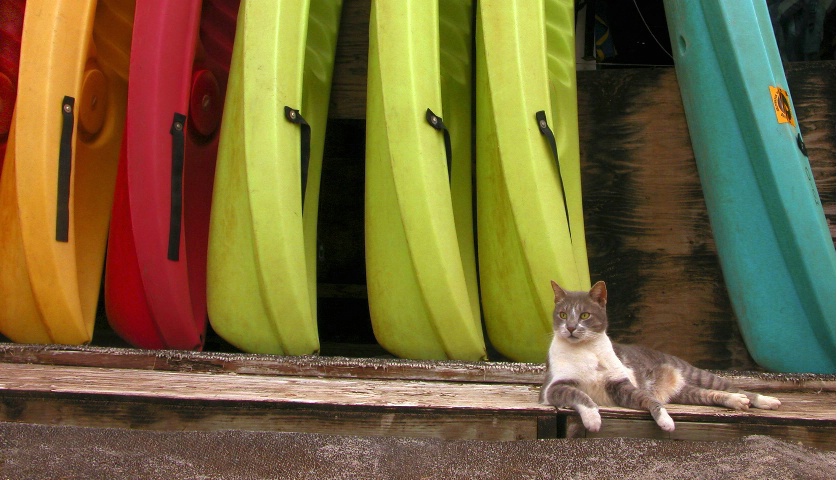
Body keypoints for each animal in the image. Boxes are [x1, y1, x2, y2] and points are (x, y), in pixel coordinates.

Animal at [540, 280, 780, 434]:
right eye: (562, 314)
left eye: (584, 315)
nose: (571, 327)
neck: (586, 350)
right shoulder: (552, 388)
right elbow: (579, 395)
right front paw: (593, 419)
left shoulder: (621, 385)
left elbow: (648, 399)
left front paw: (666, 421)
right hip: (686, 393)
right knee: (712, 394)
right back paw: (737, 401)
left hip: (699, 374)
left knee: (735, 388)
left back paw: (766, 401)